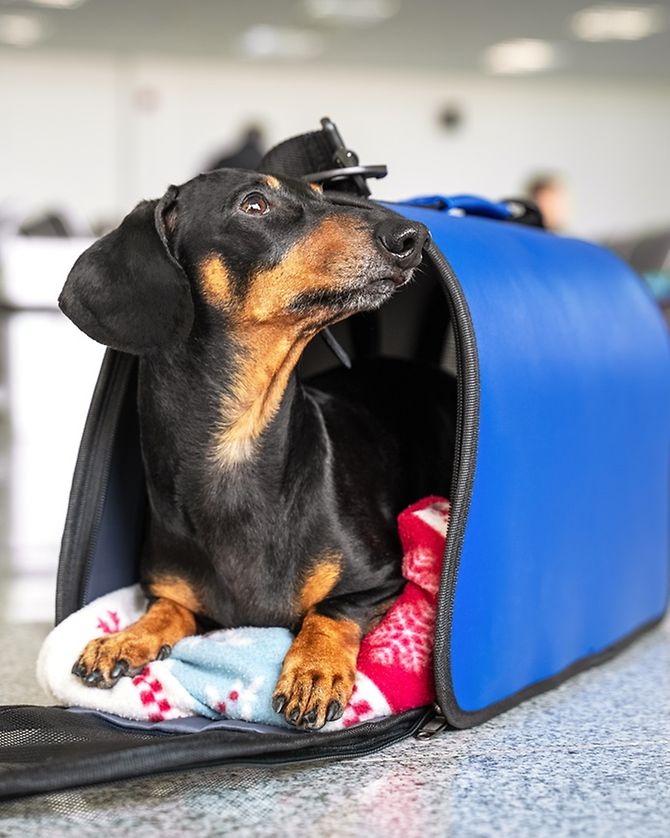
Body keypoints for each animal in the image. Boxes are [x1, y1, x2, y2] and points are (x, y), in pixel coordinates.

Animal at [59, 169, 457, 730]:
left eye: (322, 196)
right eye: (254, 204)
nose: (413, 237)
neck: (239, 449)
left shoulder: (379, 579)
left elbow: (330, 611)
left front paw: (313, 670)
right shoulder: (166, 589)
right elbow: (169, 607)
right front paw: (125, 638)